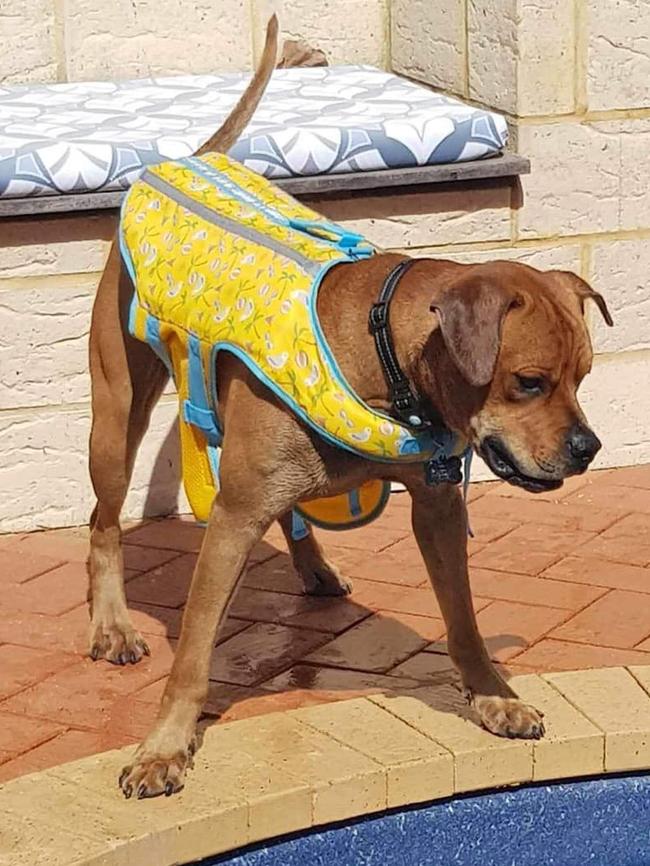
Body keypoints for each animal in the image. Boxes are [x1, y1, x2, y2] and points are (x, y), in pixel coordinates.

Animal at [86, 15, 612, 796]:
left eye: (583, 376)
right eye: (528, 381)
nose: (589, 449)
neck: (385, 354)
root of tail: (192, 159)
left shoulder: (437, 505)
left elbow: (463, 618)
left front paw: (494, 697)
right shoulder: (231, 518)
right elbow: (193, 657)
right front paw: (165, 748)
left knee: (290, 512)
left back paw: (313, 568)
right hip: (118, 414)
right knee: (104, 525)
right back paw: (113, 627)